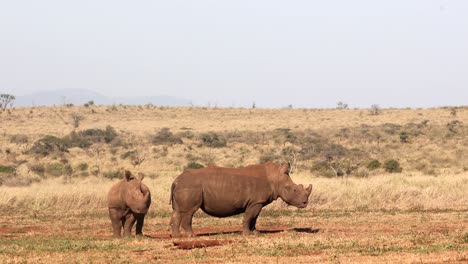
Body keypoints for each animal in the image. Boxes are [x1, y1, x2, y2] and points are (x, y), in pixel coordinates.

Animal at [170, 161, 312, 237]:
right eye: (294, 190)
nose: (305, 203)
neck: (275, 178)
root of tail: (176, 180)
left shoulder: (257, 202)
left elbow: (254, 218)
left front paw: (256, 233)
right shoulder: (255, 202)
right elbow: (249, 217)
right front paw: (247, 234)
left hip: (184, 185)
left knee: (177, 211)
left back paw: (177, 237)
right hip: (191, 186)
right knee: (189, 211)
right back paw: (192, 236)